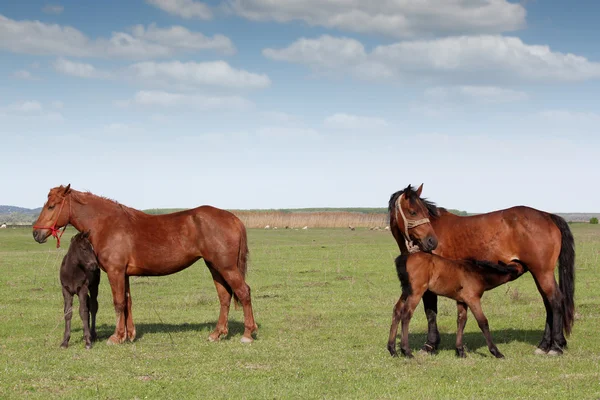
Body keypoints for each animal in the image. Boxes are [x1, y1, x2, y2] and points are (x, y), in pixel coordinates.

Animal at [32, 184, 258, 344]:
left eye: (51, 206)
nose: (36, 234)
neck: (107, 224)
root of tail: (233, 218)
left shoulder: (115, 272)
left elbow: (118, 303)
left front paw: (116, 337)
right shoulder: (124, 274)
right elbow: (128, 302)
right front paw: (129, 335)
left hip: (227, 268)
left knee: (243, 292)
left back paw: (247, 334)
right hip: (215, 267)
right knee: (225, 297)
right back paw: (217, 333)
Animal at [386, 252, 528, 358]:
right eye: (521, 266)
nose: (528, 265)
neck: (478, 273)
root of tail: (404, 258)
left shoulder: (461, 301)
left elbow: (461, 321)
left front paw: (460, 351)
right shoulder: (472, 299)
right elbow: (483, 322)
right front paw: (496, 352)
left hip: (406, 291)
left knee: (397, 311)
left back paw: (392, 350)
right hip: (416, 292)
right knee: (406, 314)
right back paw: (406, 351)